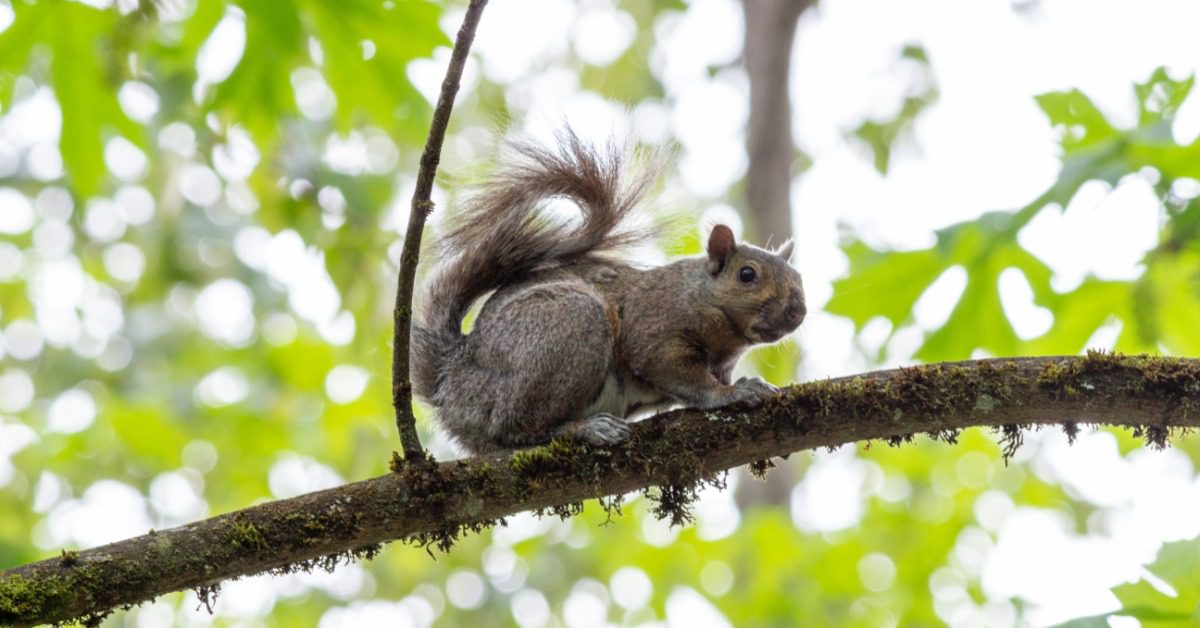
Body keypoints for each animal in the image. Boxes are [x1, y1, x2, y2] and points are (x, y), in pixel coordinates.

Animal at [411, 130, 806, 455]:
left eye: (800, 277)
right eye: (747, 274)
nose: (797, 310)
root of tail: (453, 382)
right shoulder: (655, 329)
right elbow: (683, 377)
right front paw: (732, 394)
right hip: (567, 326)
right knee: (516, 428)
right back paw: (586, 429)